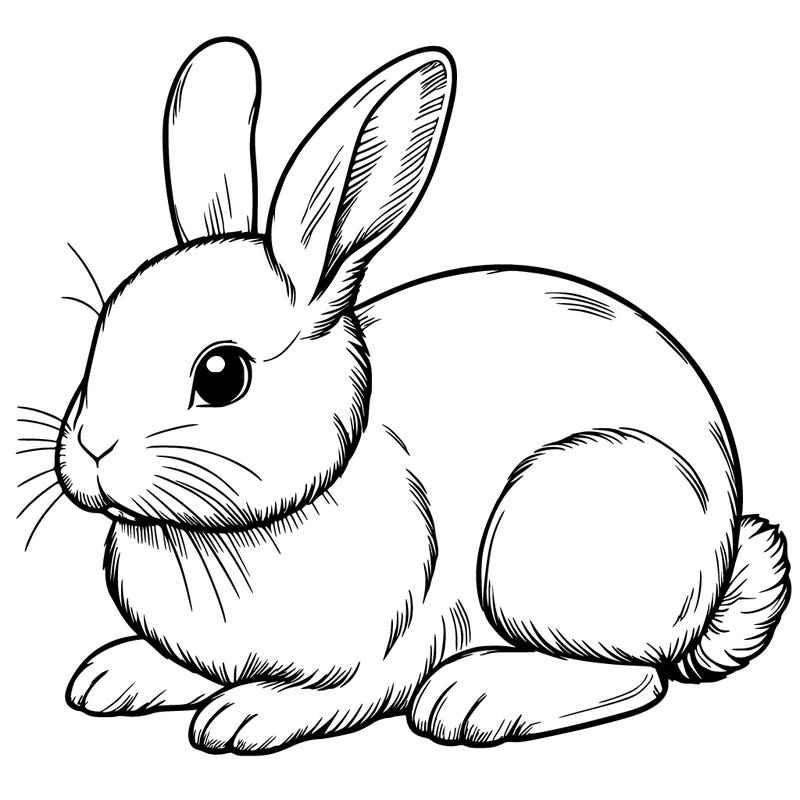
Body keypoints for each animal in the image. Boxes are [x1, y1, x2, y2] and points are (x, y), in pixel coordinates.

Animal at [51, 37, 789, 754]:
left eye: (221, 376)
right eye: (98, 338)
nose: (90, 450)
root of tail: (716, 573)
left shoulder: (390, 650)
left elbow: (342, 696)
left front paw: (245, 716)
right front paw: (114, 675)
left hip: (549, 533)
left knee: (637, 675)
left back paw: (476, 698)